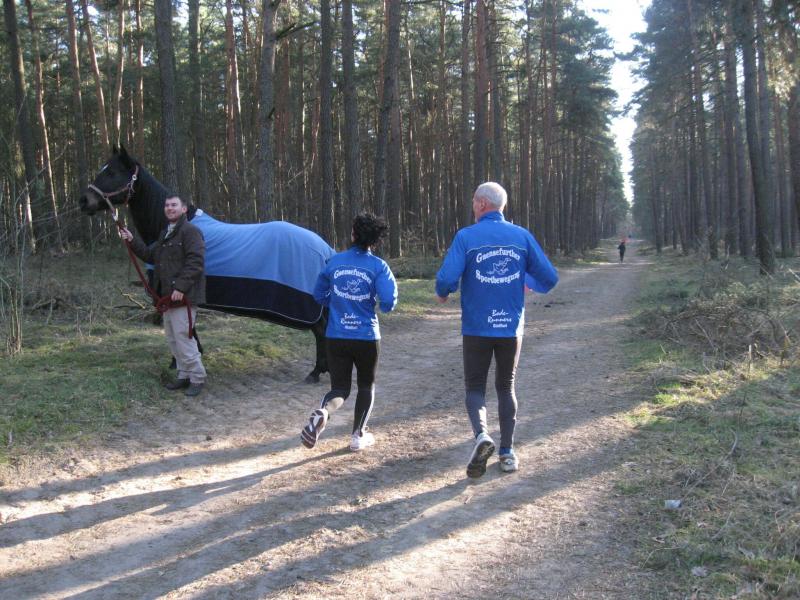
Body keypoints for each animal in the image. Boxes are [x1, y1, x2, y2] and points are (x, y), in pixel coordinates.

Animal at [79, 146, 333, 383]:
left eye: (112, 172)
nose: (83, 201)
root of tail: (323, 248)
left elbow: (185, 330)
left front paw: (180, 361)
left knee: (320, 331)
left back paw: (316, 372)